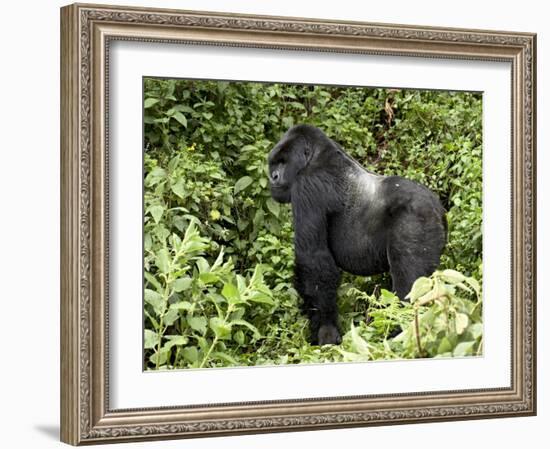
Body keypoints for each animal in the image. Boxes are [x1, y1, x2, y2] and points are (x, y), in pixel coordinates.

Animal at [268, 124, 448, 344]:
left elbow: (313, 260)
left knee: (409, 284)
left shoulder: (307, 186)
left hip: (417, 221)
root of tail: (438, 210)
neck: (317, 155)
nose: (273, 176)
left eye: (284, 162)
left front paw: (326, 331)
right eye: (274, 163)